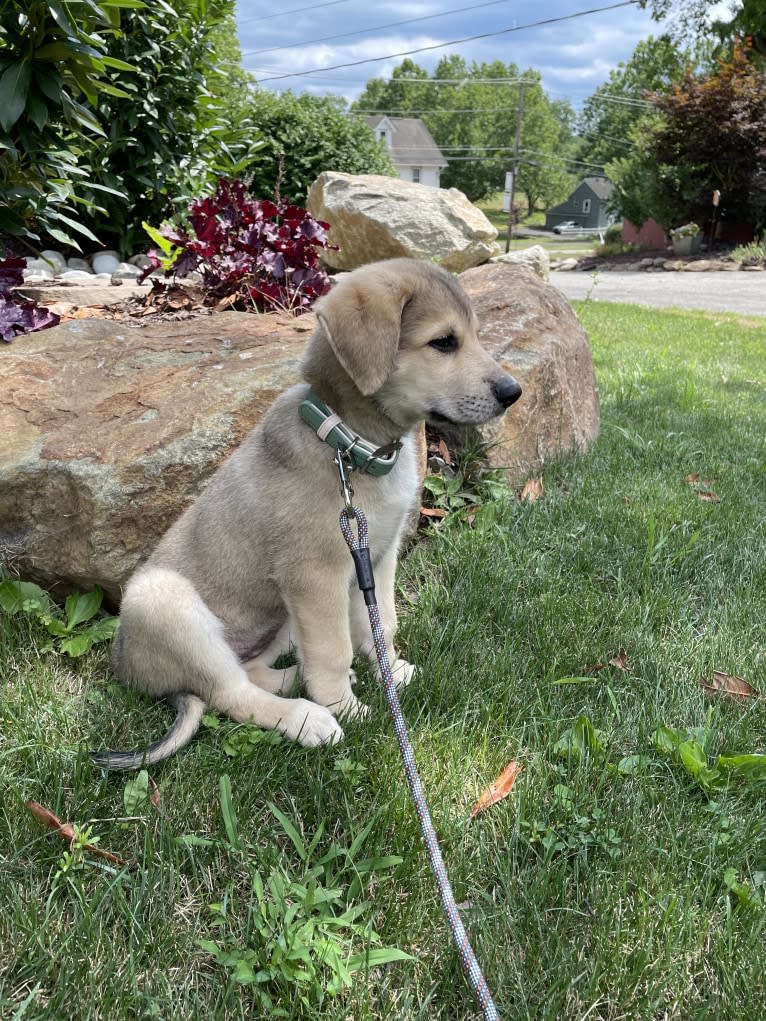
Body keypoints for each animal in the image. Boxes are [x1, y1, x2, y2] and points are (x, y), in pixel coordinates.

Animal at [89, 259, 522, 767]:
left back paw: (296, 681)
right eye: (443, 342)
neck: (349, 447)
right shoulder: (316, 575)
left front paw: (390, 671)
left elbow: (380, 626)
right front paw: (345, 707)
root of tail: (125, 667)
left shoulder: (375, 559)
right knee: (230, 693)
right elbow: (334, 650)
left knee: (255, 671)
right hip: (166, 602)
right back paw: (307, 717)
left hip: (280, 618)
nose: (513, 392)